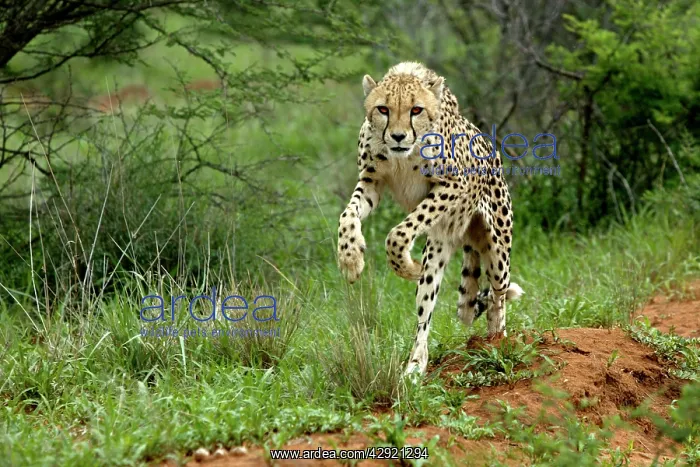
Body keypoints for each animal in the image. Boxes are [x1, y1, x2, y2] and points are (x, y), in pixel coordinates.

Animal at [337, 61, 523, 376]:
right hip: (438, 249)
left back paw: (497, 341)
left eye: (416, 110)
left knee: (497, 297)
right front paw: (350, 259)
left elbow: (398, 233)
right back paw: (415, 365)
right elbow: (347, 215)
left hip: (498, 251)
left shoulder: (454, 184)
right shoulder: (371, 181)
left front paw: (406, 266)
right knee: (425, 312)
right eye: (383, 109)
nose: (398, 137)